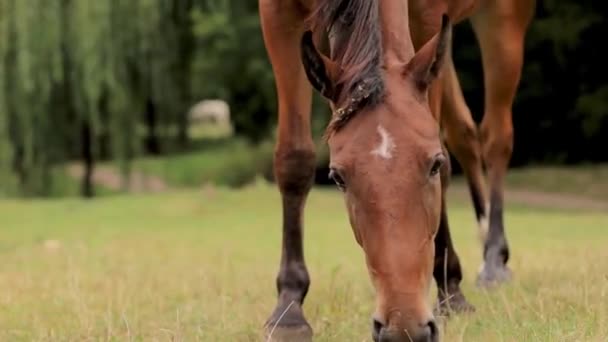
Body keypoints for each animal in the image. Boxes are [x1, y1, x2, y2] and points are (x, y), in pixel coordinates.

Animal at [258, 0, 536, 342]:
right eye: (338, 177)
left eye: (433, 164)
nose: (404, 328)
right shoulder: (278, 15)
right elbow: (294, 160)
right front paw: (289, 308)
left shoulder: (428, 18)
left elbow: (445, 164)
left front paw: (451, 292)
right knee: (465, 134)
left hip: (503, 19)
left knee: (496, 139)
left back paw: (494, 258)